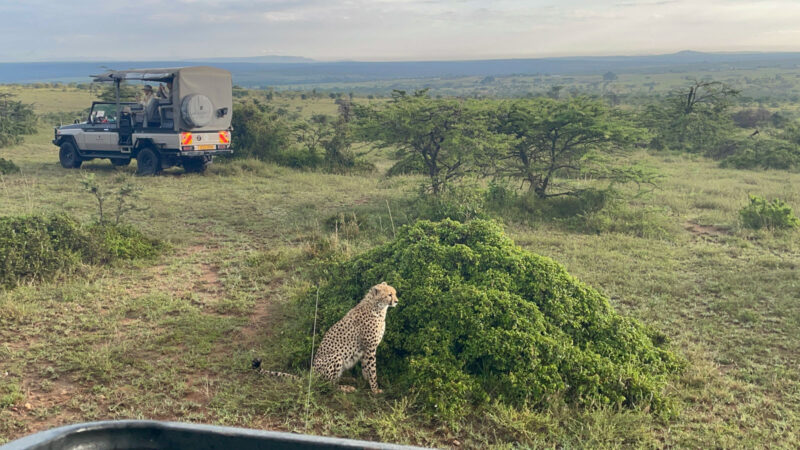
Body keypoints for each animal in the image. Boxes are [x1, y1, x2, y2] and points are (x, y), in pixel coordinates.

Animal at [253, 284, 396, 392]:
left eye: (394, 293)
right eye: (389, 294)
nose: (396, 301)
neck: (377, 307)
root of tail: (312, 373)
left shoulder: (366, 349)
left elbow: (366, 367)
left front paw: (366, 381)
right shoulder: (370, 348)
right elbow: (372, 369)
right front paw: (375, 389)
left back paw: (349, 379)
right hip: (336, 356)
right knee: (328, 384)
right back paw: (346, 387)